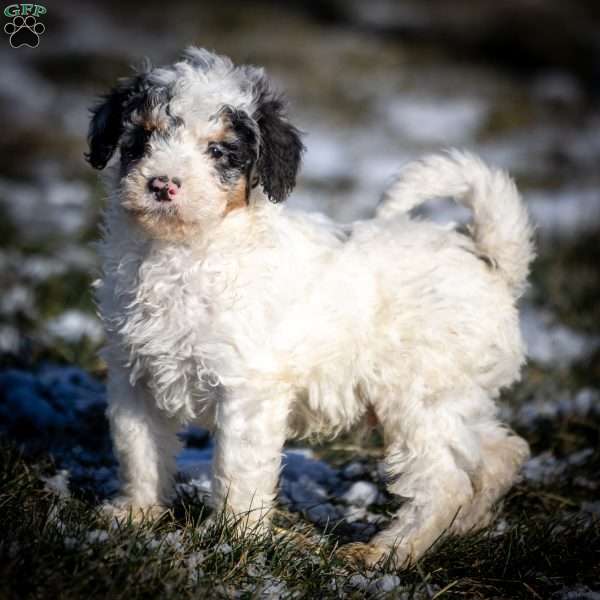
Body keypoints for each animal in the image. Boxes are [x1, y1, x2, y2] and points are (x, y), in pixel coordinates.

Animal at [86, 48, 532, 568]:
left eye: (219, 151)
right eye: (141, 138)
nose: (162, 184)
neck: (183, 253)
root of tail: (491, 262)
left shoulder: (248, 389)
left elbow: (238, 469)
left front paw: (235, 540)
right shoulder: (133, 376)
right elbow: (139, 450)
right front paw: (135, 514)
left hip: (419, 397)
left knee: (444, 482)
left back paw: (387, 553)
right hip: (459, 396)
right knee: (500, 452)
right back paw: (465, 526)